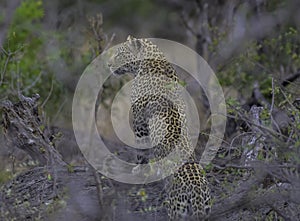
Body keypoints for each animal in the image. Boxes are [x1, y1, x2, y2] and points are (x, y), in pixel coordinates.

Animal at [108, 35, 211, 219]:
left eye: (119, 54)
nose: (108, 64)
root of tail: (196, 189)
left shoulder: (139, 121)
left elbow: (141, 149)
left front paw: (138, 170)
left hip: (176, 210)